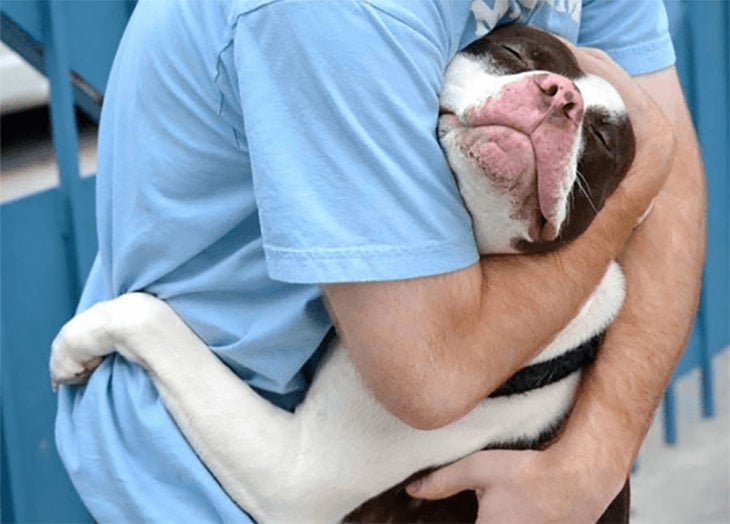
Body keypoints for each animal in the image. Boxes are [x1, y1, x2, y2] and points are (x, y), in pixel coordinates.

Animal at [49, 26, 632, 524]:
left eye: (603, 141)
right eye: (514, 54)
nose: (561, 97)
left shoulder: (293, 475)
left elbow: (153, 320)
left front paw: (76, 342)